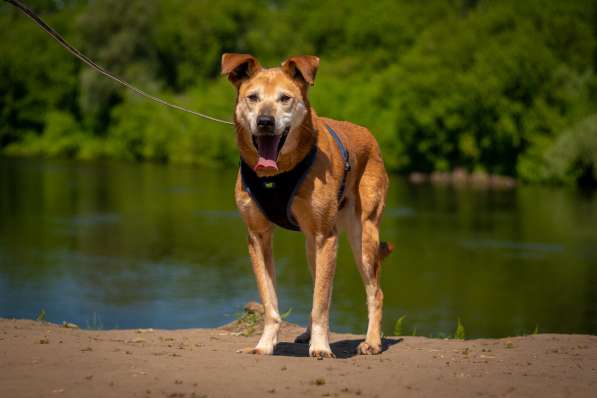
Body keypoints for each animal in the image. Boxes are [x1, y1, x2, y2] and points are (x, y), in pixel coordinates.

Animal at [220, 53, 392, 358]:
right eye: (252, 97)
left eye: (285, 98)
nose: (265, 121)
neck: (276, 174)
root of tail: (367, 133)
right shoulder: (258, 236)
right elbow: (270, 300)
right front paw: (265, 344)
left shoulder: (327, 236)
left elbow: (321, 302)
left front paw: (321, 346)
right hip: (311, 244)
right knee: (315, 284)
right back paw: (308, 334)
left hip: (363, 236)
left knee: (375, 291)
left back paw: (372, 342)